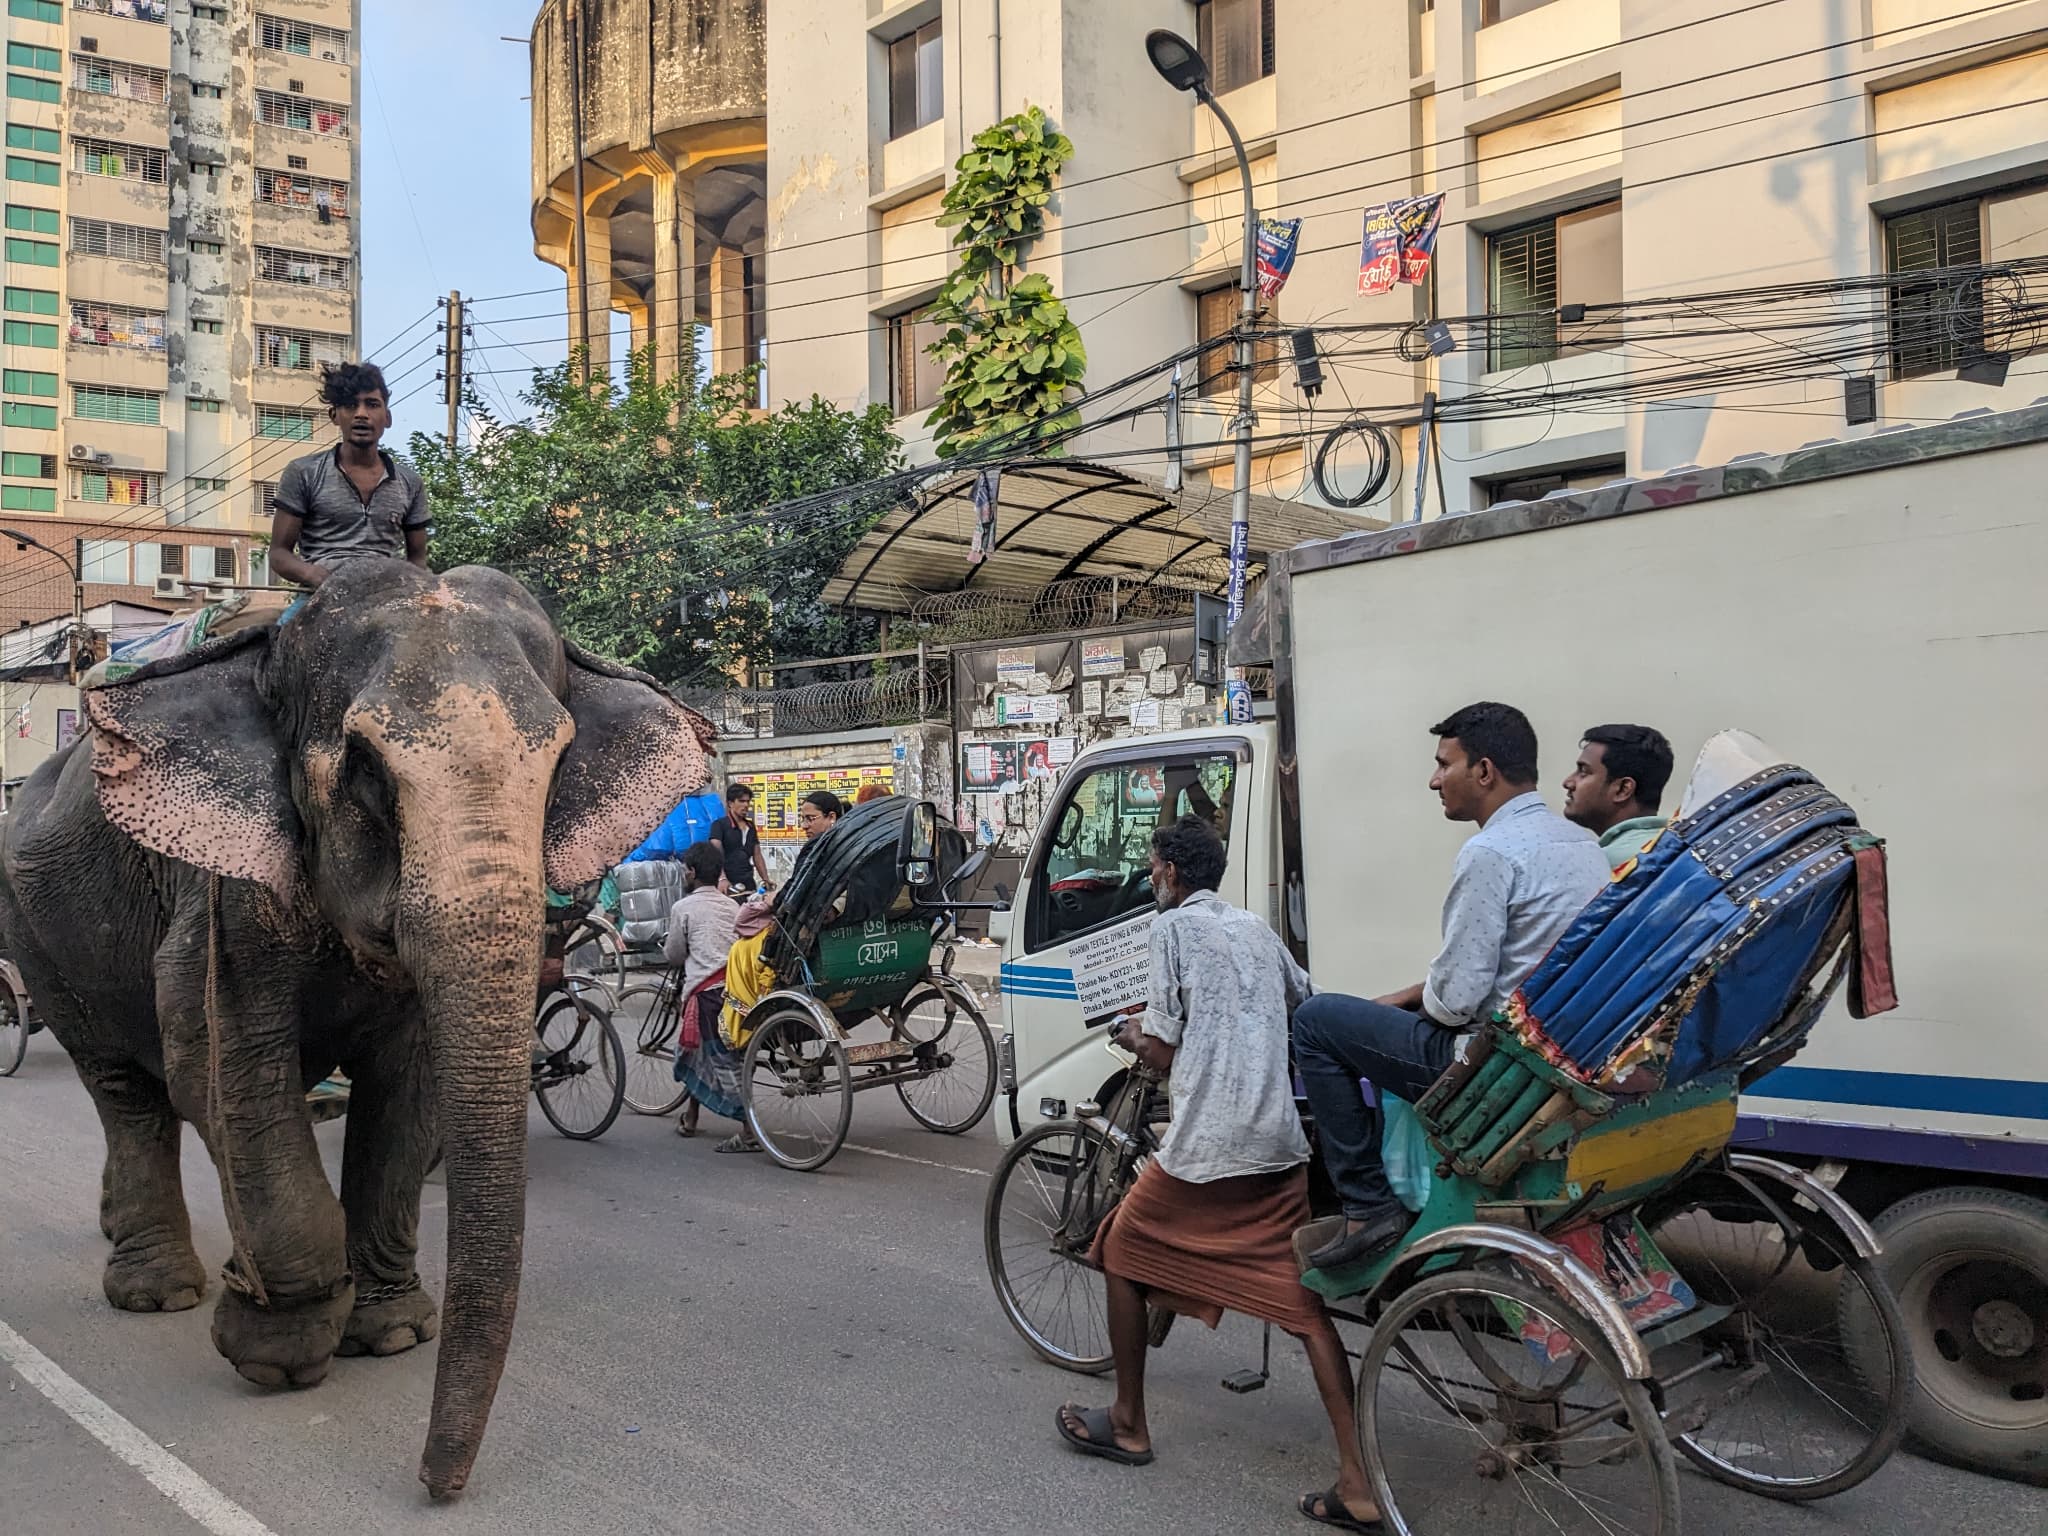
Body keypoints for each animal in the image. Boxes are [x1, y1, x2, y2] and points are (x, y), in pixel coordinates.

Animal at [0, 560, 712, 1497]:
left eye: (560, 765)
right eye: (368, 770)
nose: (438, 1485)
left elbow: (409, 1092)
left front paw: (391, 1335)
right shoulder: (223, 894)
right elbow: (222, 1068)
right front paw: (276, 1353)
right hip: (38, 935)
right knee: (126, 1088)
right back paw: (160, 1293)